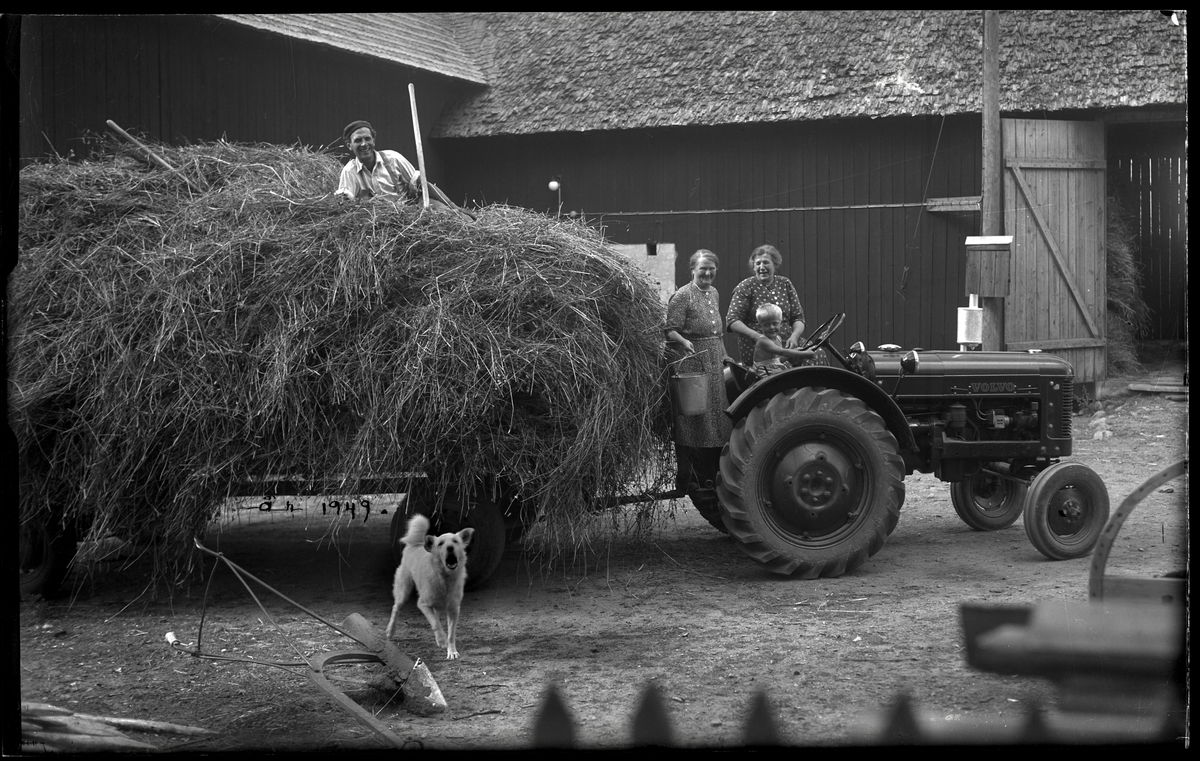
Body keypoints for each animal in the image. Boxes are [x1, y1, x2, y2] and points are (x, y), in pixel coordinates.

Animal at [386, 508, 475, 657]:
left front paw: (451, 651)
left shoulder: (454, 610)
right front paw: (441, 640)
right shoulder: (423, 604)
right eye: (440, 544)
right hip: (403, 592)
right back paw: (390, 631)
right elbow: (435, 624)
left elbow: (451, 633)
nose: (450, 547)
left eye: (455, 541)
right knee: (395, 608)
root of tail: (415, 544)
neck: (444, 578)